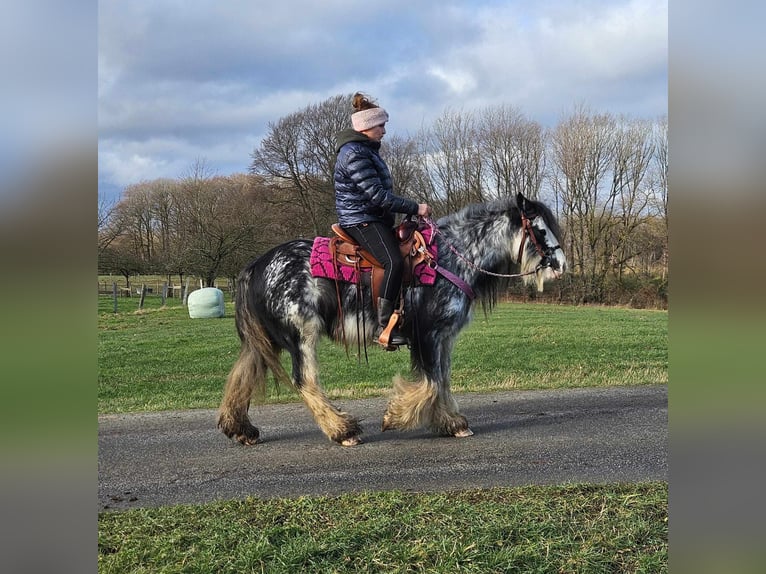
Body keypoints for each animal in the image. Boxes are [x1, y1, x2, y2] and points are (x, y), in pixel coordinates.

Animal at [219, 191, 568, 448]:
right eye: (539, 230)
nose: (561, 264)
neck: (449, 259)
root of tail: (256, 265)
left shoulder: (443, 337)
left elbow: (442, 378)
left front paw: (451, 423)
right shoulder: (427, 334)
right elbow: (430, 381)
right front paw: (397, 417)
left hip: (267, 341)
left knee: (243, 374)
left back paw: (241, 429)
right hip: (301, 336)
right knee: (304, 380)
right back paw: (343, 431)